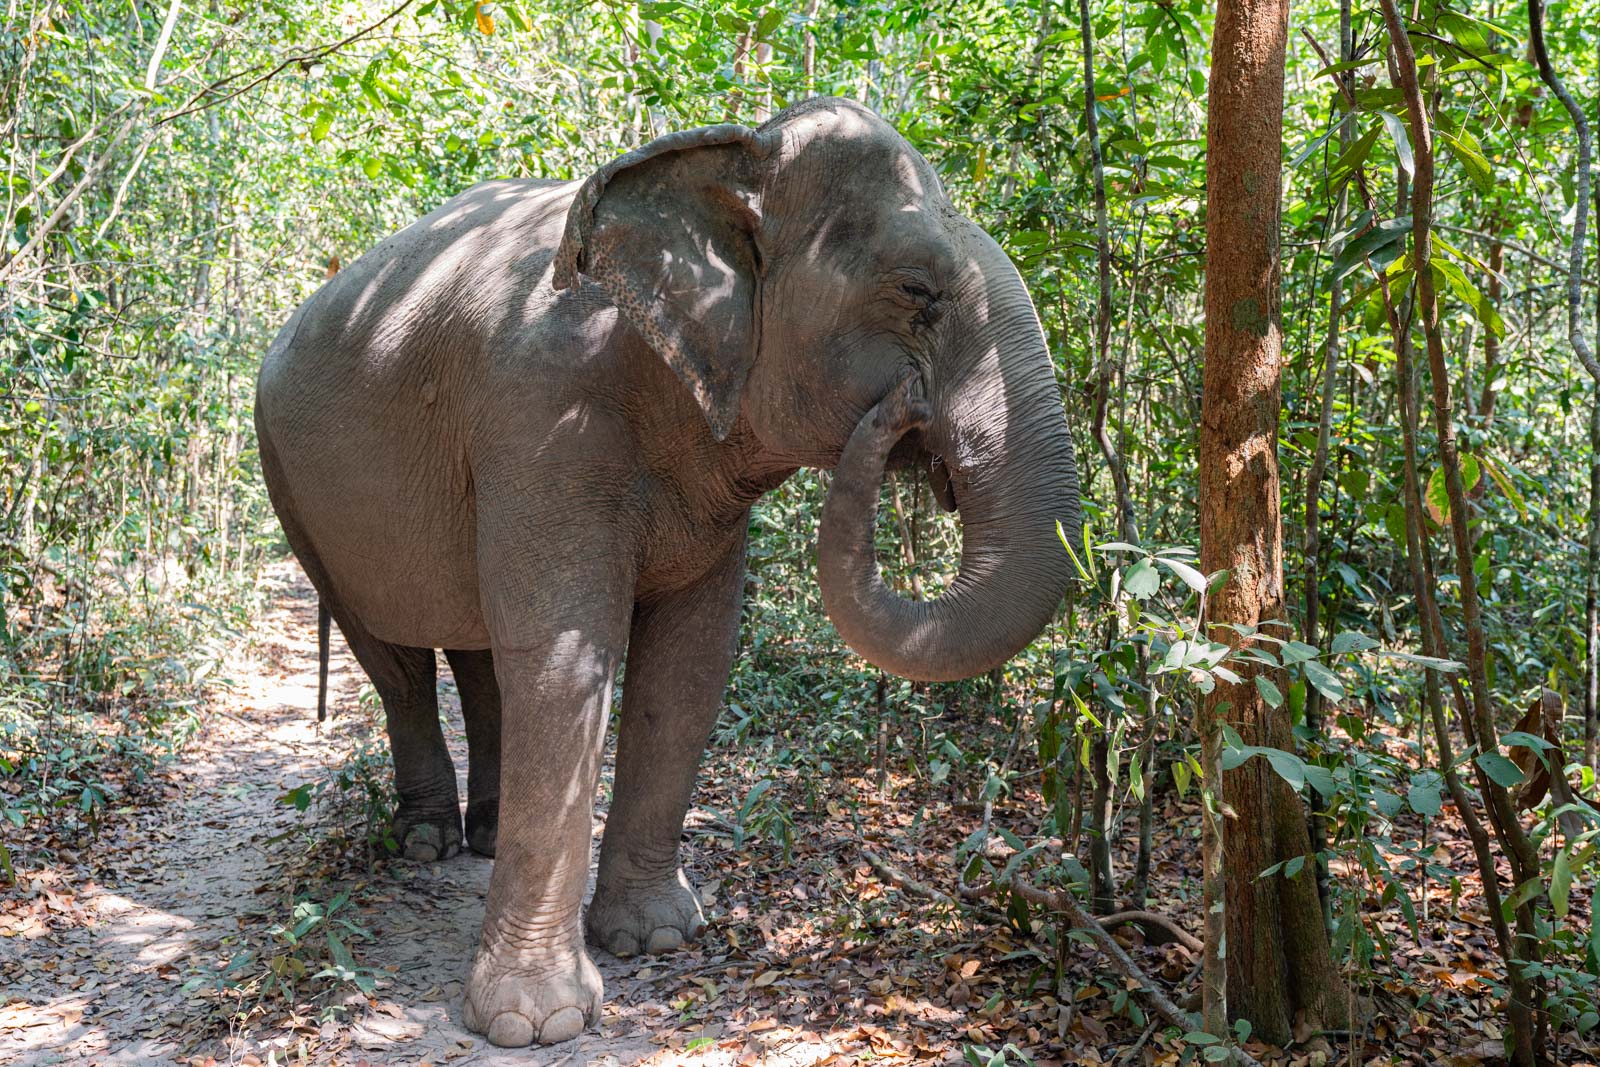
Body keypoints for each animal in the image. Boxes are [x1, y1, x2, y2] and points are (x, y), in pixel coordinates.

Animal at [256, 95, 1081, 1049]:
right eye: (917, 290)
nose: (900, 412)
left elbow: (689, 664)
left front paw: (654, 937)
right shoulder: (540, 419)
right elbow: (565, 660)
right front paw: (535, 1022)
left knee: (476, 651)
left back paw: (485, 837)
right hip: (292, 490)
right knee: (393, 658)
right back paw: (426, 844)